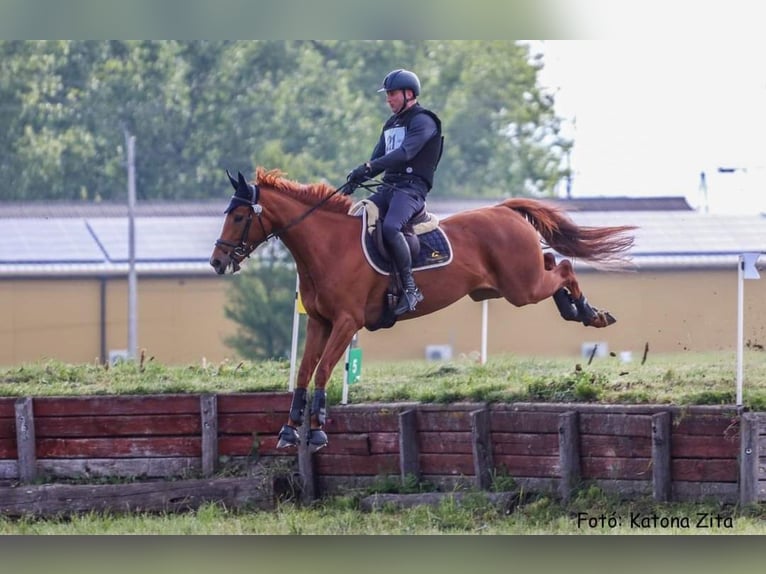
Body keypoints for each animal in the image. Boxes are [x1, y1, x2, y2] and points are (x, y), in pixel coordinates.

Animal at [208, 169, 636, 452]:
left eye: (240, 216)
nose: (216, 262)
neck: (327, 246)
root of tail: (504, 210)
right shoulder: (319, 322)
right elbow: (303, 371)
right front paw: (290, 429)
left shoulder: (346, 322)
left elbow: (325, 370)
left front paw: (316, 431)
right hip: (511, 284)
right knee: (552, 260)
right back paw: (575, 309)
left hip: (521, 287)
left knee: (563, 268)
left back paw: (589, 312)